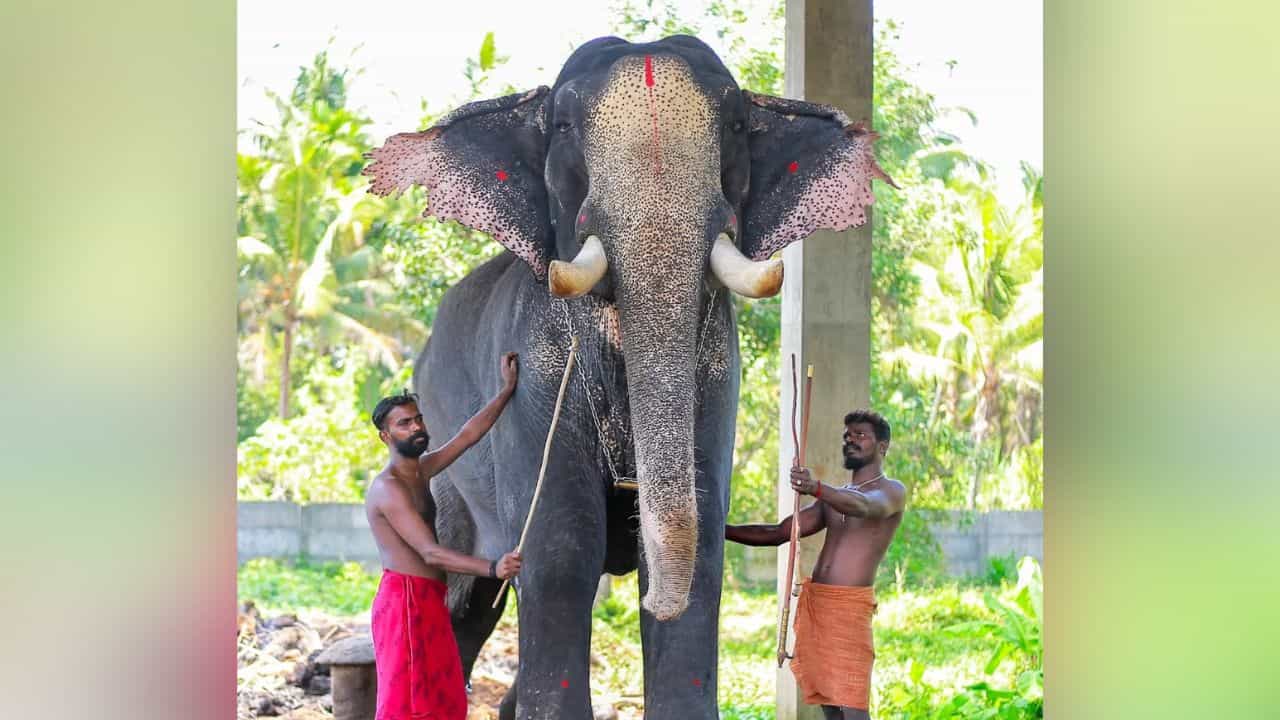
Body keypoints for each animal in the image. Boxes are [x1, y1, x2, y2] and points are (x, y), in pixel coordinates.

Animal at [363, 34, 894, 720]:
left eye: (737, 125)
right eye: (563, 125)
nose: (649, 599)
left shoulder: (716, 374)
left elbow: (703, 551)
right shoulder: (537, 373)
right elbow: (562, 549)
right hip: (447, 482)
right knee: (465, 600)